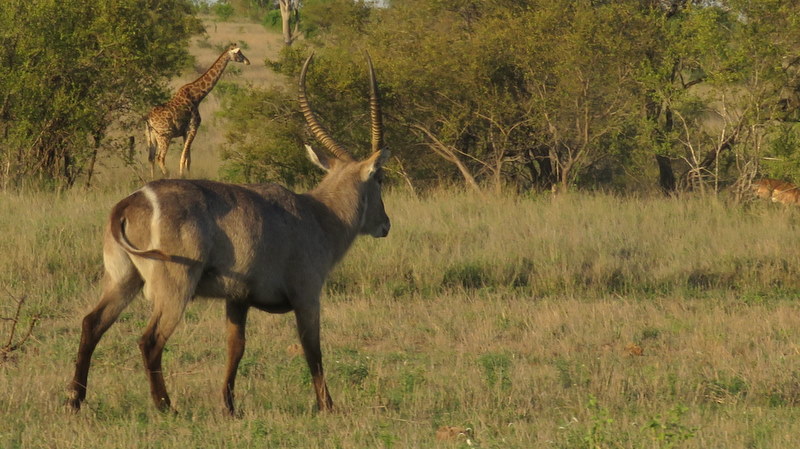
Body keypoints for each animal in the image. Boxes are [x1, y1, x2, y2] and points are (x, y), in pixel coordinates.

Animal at [146, 44, 250, 177]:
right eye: (239, 53)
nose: (247, 61)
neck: (197, 96)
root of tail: (149, 120)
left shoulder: (186, 132)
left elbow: (188, 159)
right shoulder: (193, 128)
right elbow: (184, 157)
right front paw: (182, 176)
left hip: (151, 137)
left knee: (151, 159)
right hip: (164, 136)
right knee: (160, 158)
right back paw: (167, 175)